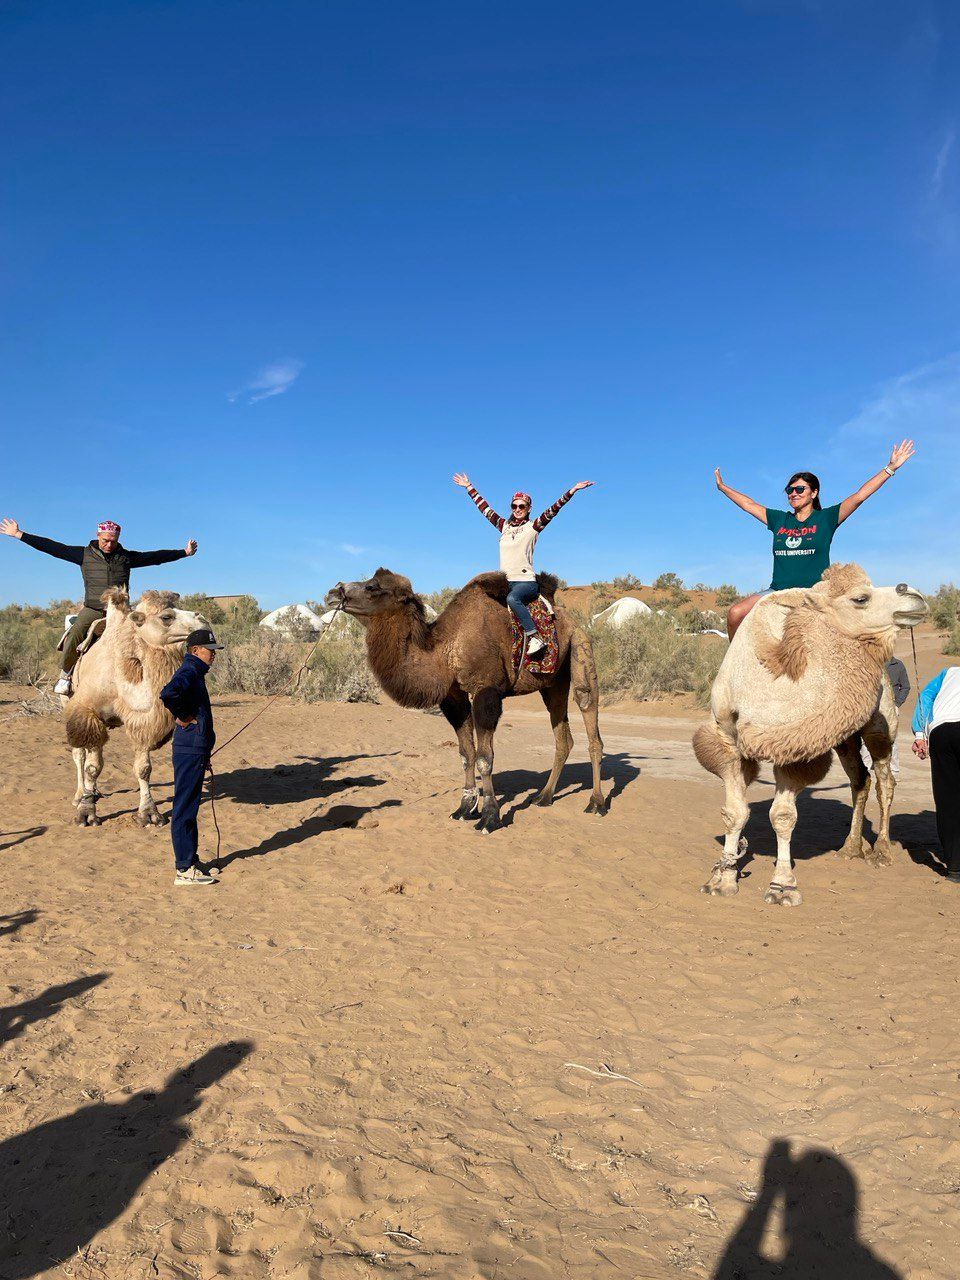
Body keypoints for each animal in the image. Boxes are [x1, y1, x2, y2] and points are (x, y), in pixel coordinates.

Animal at [64, 591, 209, 829]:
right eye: (166, 616)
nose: (203, 620)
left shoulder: (141, 721)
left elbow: (143, 768)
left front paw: (149, 814)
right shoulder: (90, 713)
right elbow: (92, 767)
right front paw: (86, 813)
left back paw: (94, 792)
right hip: (67, 702)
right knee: (79, 754)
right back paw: (79, 794)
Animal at [325, 568, 609, 829]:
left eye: (373, 587)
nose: (333, 592)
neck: (445, 651)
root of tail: (572, 620)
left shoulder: (487, 690)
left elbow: (485, 758)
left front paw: (490, 817)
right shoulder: (453, 697)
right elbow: (466, 754)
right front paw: (464, 807)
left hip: (581, 649)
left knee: (588, 711)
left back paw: (597, 803)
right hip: (552, 683)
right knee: (563, 736)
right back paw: (544, 797)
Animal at [696, 565, 926, 906]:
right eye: (861, 598)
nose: (915, 595)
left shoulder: (794, 749)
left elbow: (782, 816)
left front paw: (782, 886)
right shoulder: (730, 743)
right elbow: (735, 813)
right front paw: (722, 878)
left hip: (880, 724)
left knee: (885, 780)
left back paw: (881, 851)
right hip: (844, 738)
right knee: (860, 779)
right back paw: (851, 848)